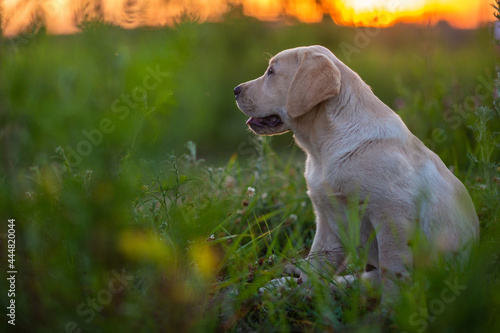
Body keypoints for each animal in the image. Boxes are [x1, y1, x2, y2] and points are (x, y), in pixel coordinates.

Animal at [232, 44, 478, 300]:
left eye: (271, 72)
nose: (235, 90)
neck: (322, 148)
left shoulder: (394, 217)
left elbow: (393, 270)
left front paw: (390, 309)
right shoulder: (328, 221)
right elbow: (313, 269)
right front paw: (297, 295)